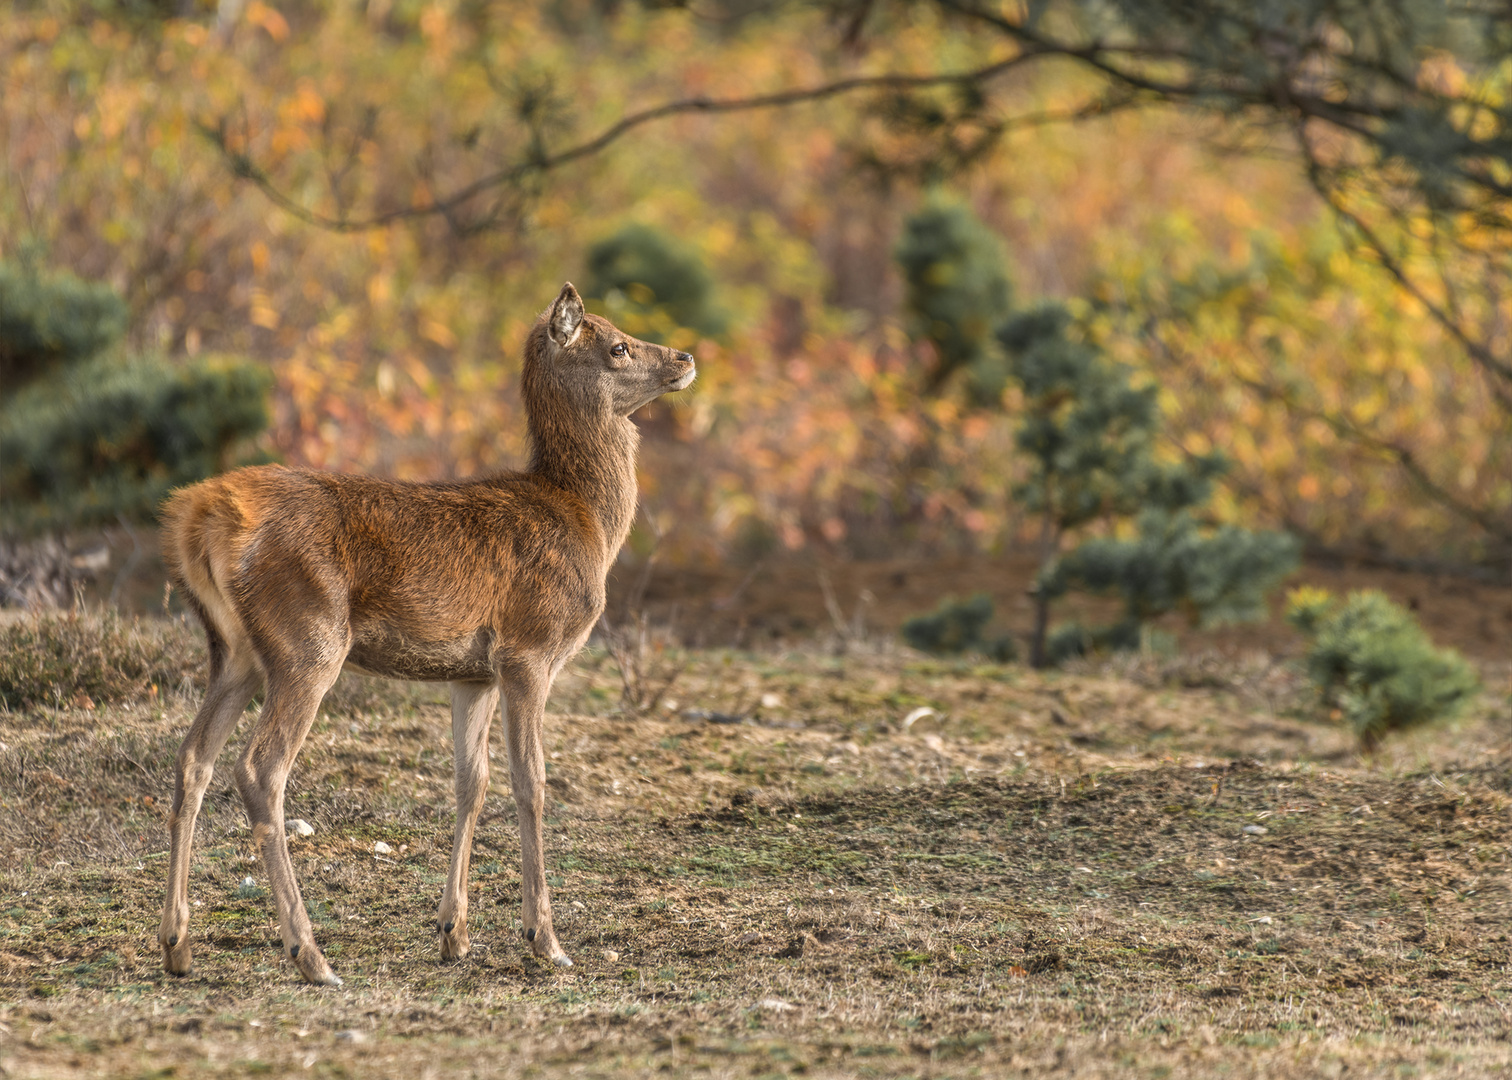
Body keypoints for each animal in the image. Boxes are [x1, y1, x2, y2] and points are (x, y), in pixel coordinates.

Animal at [153, 281, 695, 980]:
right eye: (618, 345)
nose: (685, 356)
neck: (589, 525)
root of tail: (198, 518)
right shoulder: (529, 648)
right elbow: (532, 781)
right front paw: (544, 939)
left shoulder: (473, 674)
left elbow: (471, 782)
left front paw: (453, 932)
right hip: (308, 637)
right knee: (260, 768)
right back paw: (310, 953)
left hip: (235, 650)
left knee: (192, 758)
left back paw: (178, 944)